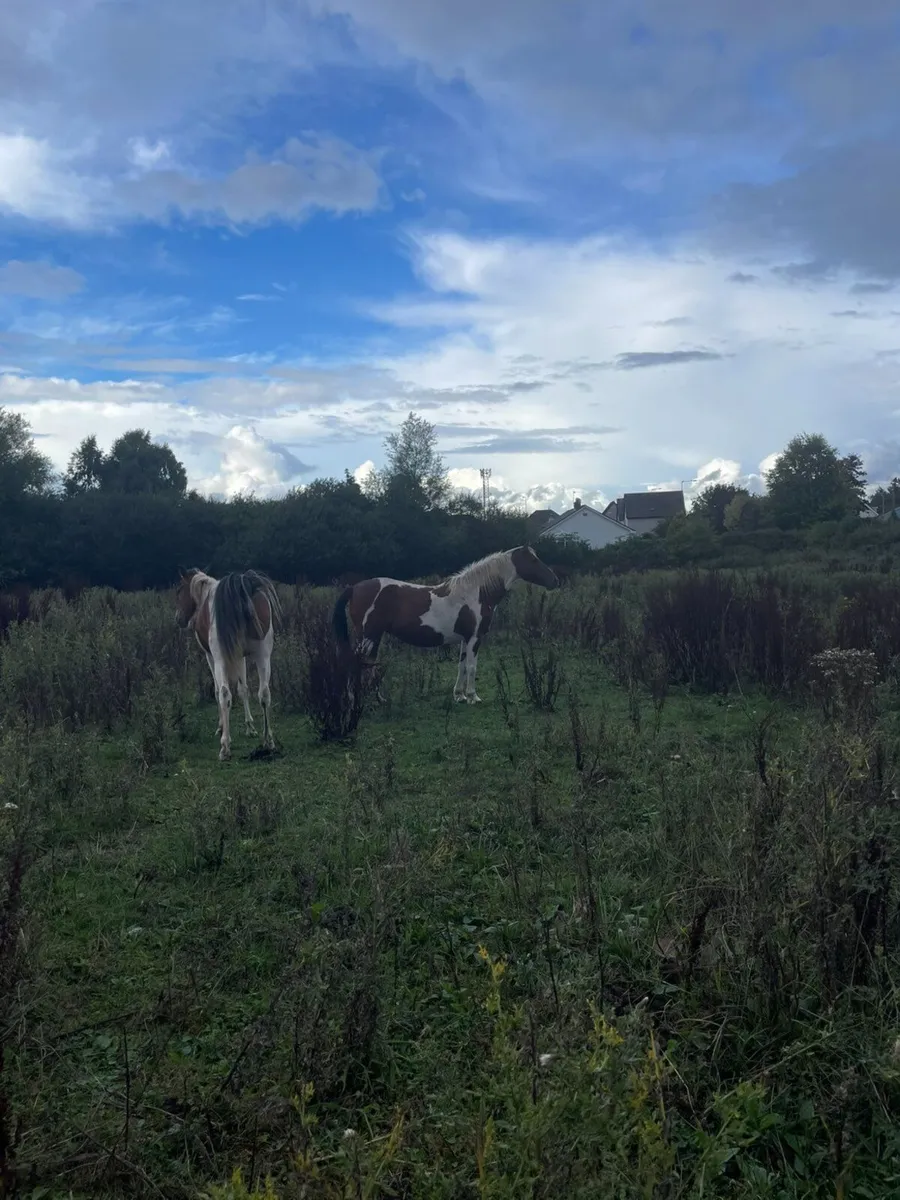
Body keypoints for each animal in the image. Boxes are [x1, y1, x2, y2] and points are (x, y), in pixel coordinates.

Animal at [174, 567, 282, 760]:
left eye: (179, 591)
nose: (178, 618)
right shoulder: (240, 656)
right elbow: (243, 688)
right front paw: (250, 727)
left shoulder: (211, 656)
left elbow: (219, 691)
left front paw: (221, 728)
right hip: (263, 655)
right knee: (264, 694)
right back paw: (268, 741)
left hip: (220, 659)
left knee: (225, 694)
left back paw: (225, 747)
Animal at [331, 545, 559, 704]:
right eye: (533, 560)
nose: (554, 580)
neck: (476, 592)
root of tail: (355, 587)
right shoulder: (475, 638)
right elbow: (472, 667)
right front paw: (473, 696)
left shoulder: (465, 639)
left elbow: (461, 666)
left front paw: (459, 695)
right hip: (368, 637)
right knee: (356, 665)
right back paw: (353, 701)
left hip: (374, 638)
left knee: (368, 666)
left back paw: (379, 700)